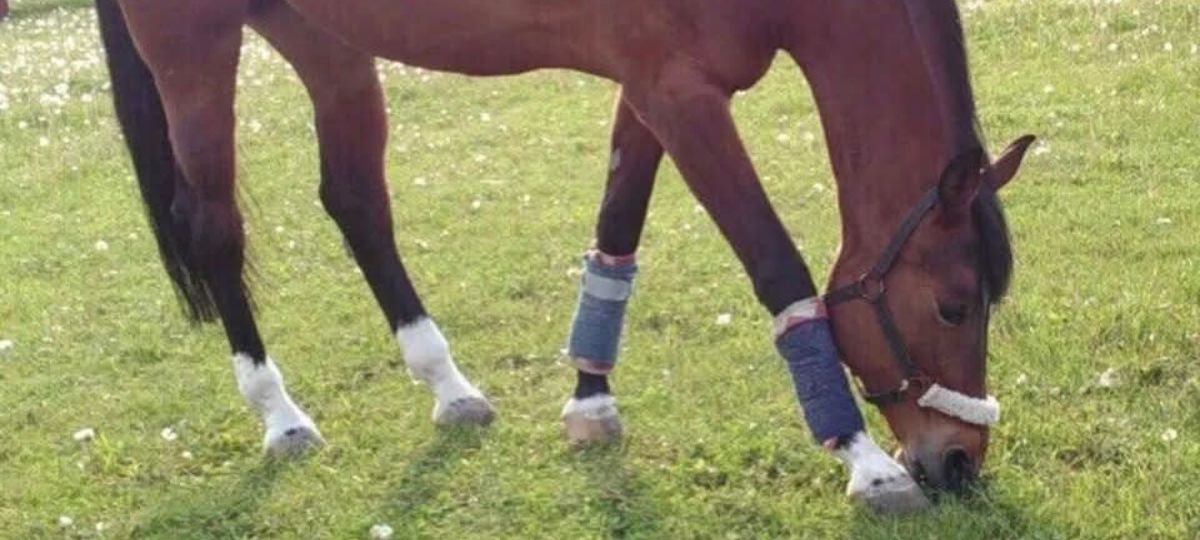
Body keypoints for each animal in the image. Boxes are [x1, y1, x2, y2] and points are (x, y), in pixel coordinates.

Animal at [93, 0, 1033, 514]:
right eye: (953, 304)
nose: (957, 461)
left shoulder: (651, 88)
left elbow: (617, 226)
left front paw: (589, 400)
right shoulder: (677, 93)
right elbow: (779, 270)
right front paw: (865, 465)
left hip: (326, 41)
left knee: (357, 201)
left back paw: (447, 384)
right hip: (192, 49)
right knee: (213, 230)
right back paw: (279, 414)